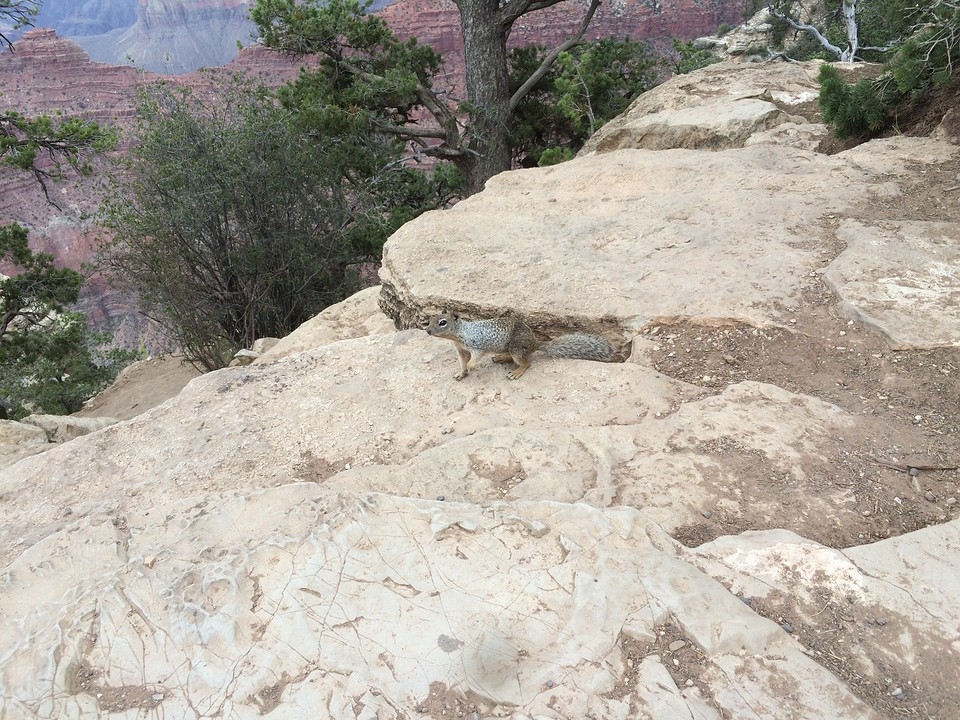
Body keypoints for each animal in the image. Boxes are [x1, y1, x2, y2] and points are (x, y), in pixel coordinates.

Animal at [425, 311, 613, 380]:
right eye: (431, 319)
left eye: (442, 322)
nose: (427, 330)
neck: (459, 334)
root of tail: (535, 343)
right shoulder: (461, 350)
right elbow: (462, 362)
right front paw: (461, 373)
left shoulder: (476, 345)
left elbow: (475, 358)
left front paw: (471, 367)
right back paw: (500, 358)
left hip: (516, 348)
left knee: (527, 363)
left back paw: (516, 372)